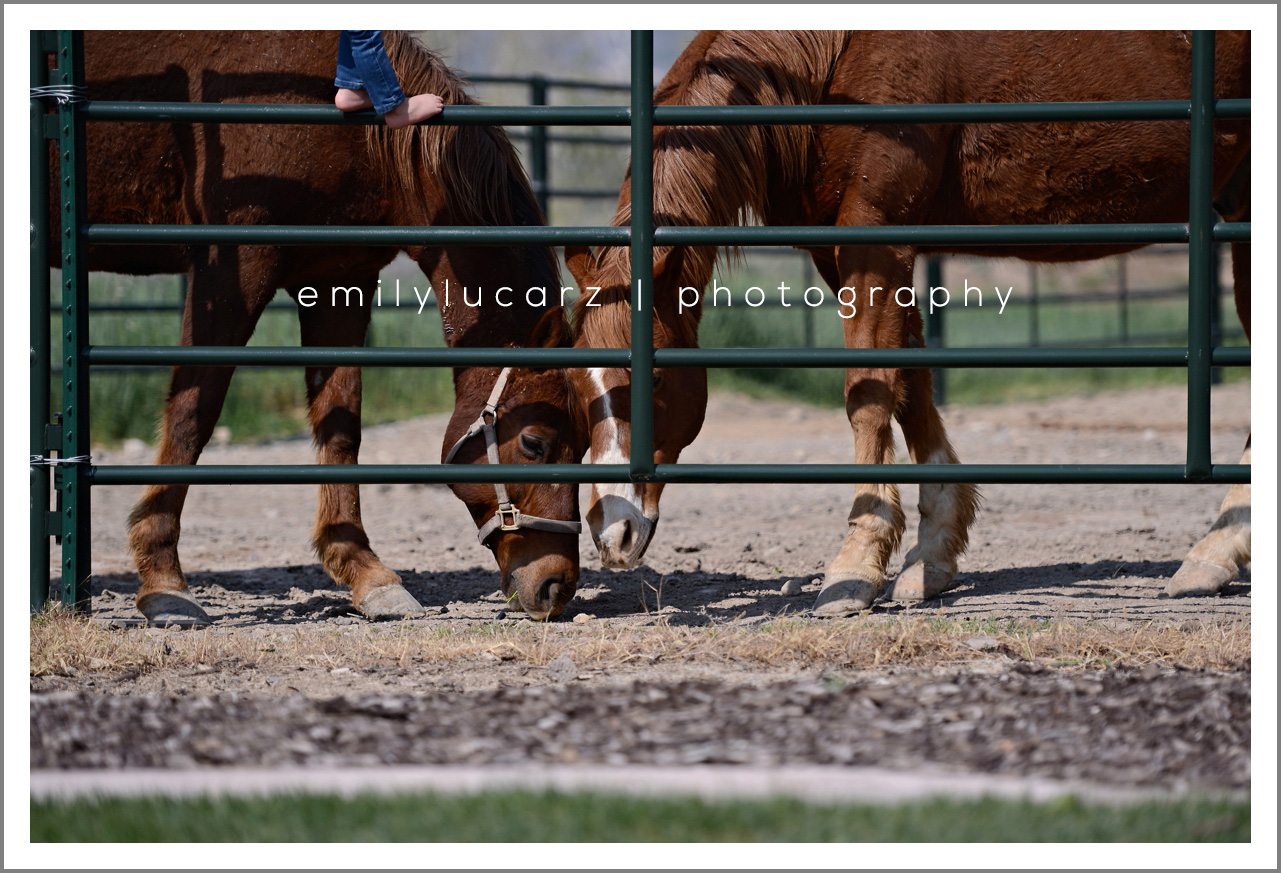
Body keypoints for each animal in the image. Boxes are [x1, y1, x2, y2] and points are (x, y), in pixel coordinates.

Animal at [72, 30, 584, 623]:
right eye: (534, 443)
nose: (557, 586)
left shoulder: (339, 279)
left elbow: (341, 424)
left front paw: (366, 573)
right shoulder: (231, 269)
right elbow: (191, 414)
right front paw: (163, 581)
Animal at [566, 32, 1245, 612]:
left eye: (654, 381)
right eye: (576, 385)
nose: (611, 531)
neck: (831, 60)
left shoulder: (875, 238)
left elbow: (868, 395)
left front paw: (855, 566)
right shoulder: (854, 252)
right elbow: (909, 385)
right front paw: (933, 555)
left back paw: (1215, 553)